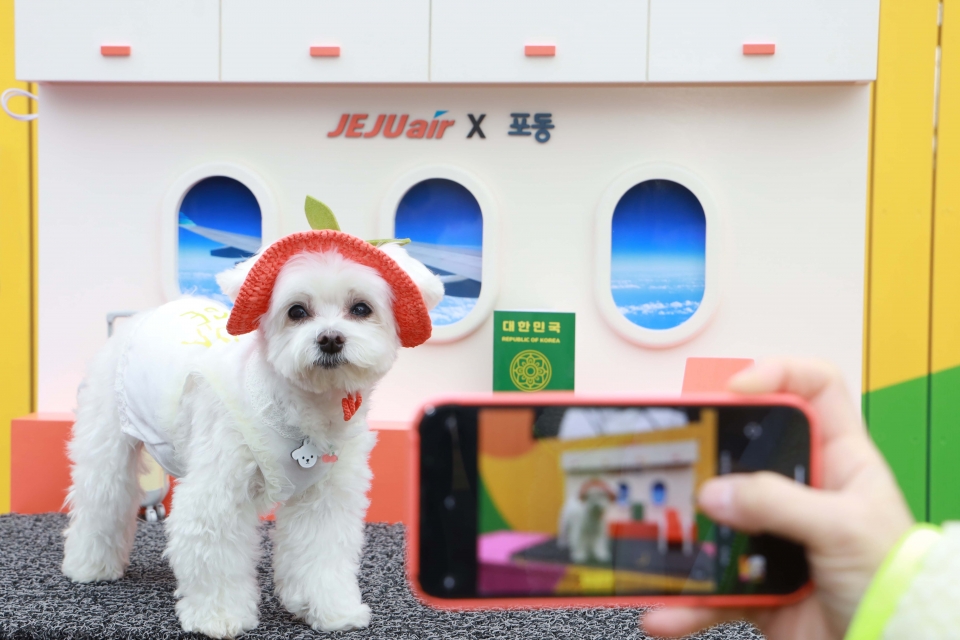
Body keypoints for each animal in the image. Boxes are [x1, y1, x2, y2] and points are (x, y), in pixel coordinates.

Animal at [62, 198, 444, 636]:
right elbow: (215, 554)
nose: (330, 338)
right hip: (107, 438)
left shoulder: (324, 497)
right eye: (297, 311)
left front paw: (330, 609)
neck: (297, 407)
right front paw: (219, 616)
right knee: (102, 497)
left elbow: (320, 554)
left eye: (361, 309)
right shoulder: (217, 494)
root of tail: (149, 315)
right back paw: (90, 565)